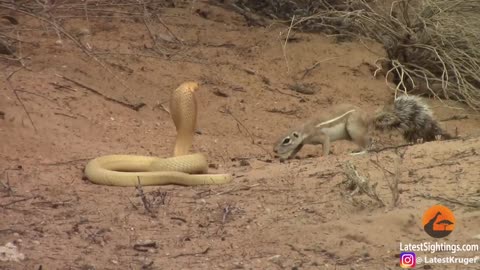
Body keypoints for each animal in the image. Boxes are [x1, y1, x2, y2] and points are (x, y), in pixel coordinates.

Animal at [276, 95, 452, 160]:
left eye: (286, 140)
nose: (274, 151)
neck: (303, 130)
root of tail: (369, 118)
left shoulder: (319, 135)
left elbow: (325, 145)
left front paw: (323, 156)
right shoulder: (302, 143)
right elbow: (296, 150)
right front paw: (288, 158)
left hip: (353, 129)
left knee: (369, 145)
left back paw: (358, 153)